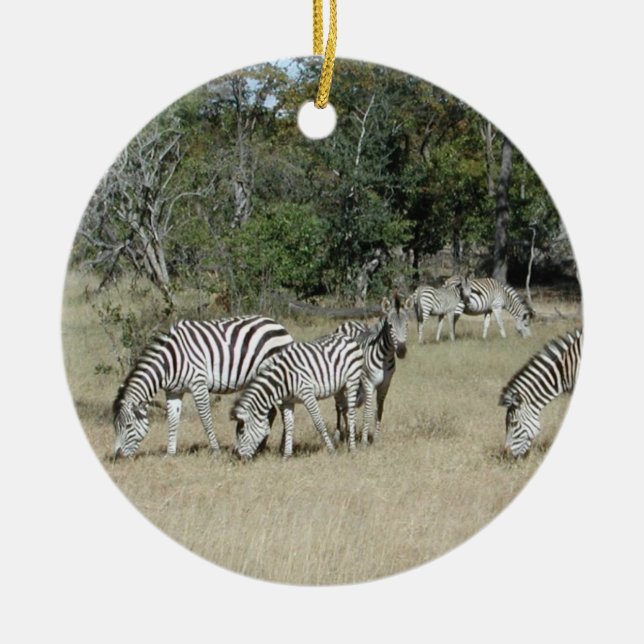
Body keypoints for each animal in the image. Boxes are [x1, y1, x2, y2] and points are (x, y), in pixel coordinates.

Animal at [112, 316, 293, 457]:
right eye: (115, 427)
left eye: (128, 426)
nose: (117, 456)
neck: (170, 362)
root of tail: (278, 324)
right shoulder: (173, 391)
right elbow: (172, 420)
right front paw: (170, 454)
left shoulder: (198, 384)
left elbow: (205, 419)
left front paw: (216, 451)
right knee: (271, 411)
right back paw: (261, 448)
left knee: (285, 413)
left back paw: (282, 449)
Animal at [231, 333, 364, 458]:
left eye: (241, 432)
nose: (237, 456)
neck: (282, 379)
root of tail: (347, 337)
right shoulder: (288, 401)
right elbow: (289, 425)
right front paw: (286, 456)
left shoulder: (307, 394)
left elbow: (319, 423)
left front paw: (332, 451)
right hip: (339, 389)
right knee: (345, 410)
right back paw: (347, 442)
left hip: (352, 381)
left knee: (351, 414)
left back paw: (352, 449)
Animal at [334, 293, 412, 445]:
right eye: (390, 326)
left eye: (406, 324)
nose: (401, 351)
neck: (385, 357)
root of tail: (347, 324)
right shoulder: (369, 383)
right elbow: (368, 412)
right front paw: (364, 442)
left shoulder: (385, 385)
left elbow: (379, 410)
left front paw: (376, 439)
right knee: (339, 407)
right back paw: (339, 434)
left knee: (346, 407)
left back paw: (349, 432)